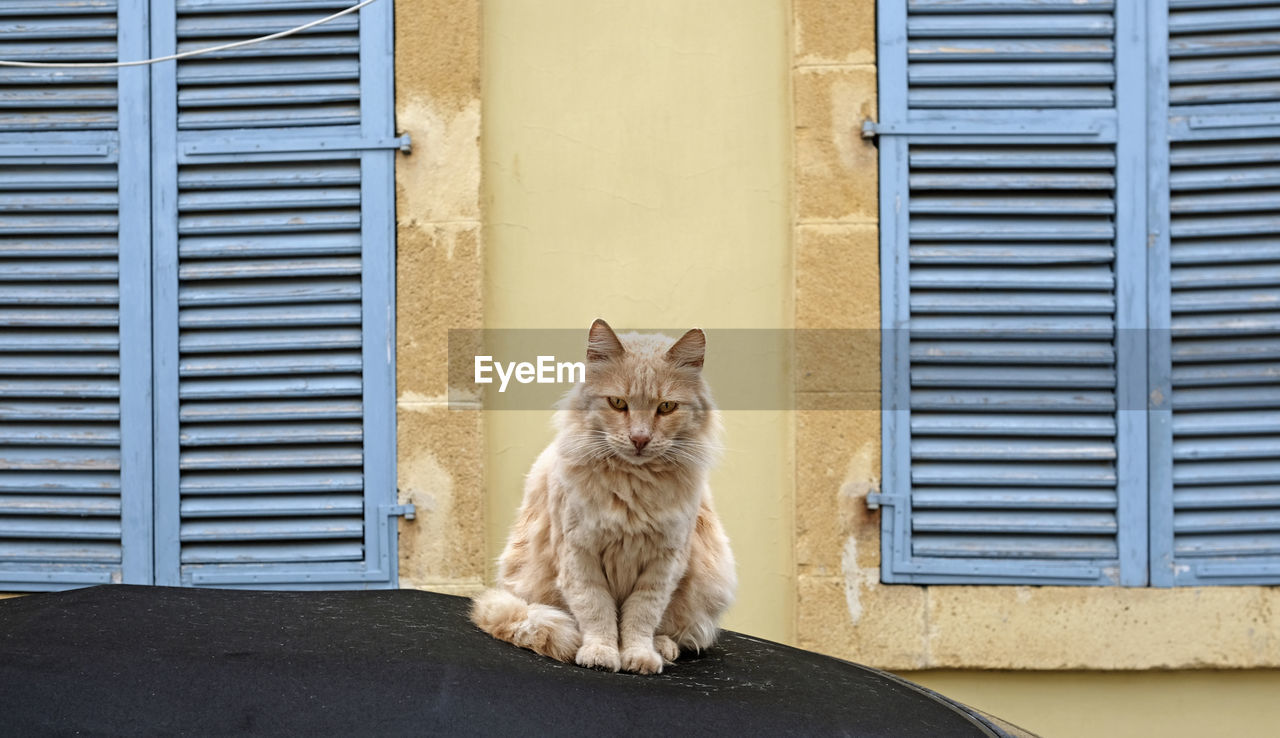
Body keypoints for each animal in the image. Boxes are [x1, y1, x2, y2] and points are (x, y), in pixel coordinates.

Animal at [473, 317, 737, 675]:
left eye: (666, 407)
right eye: (618, 403)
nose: (639, 439)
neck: (633, 486)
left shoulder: (662, 564)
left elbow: (640, 617)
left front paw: (638, 657)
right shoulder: (580, 556)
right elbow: (597, 612)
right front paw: (601, 653)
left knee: (675, 632)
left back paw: (662, 647)